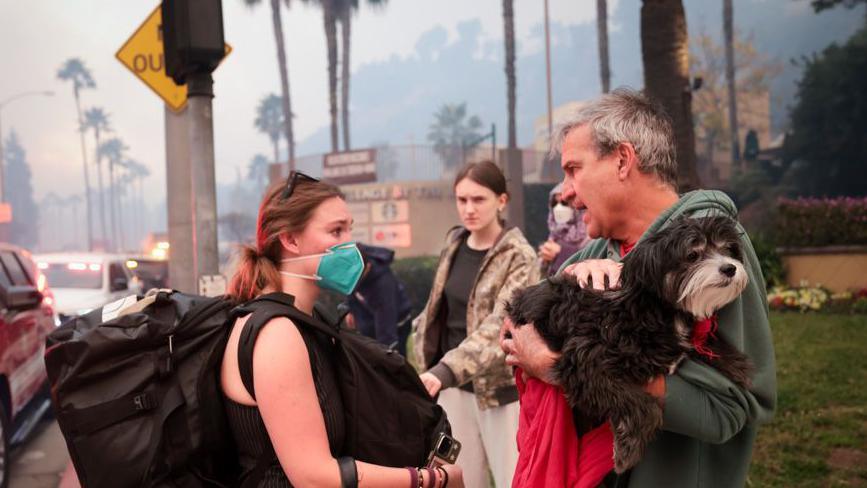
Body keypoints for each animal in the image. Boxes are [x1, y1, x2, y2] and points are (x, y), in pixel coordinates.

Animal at [506, 215, 756, 470]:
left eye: (727, 249)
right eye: (692, 254)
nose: (730, 268)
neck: (653, 310)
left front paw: (733, 362)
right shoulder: (585, 363)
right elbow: (642, 404)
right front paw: (628, 447)